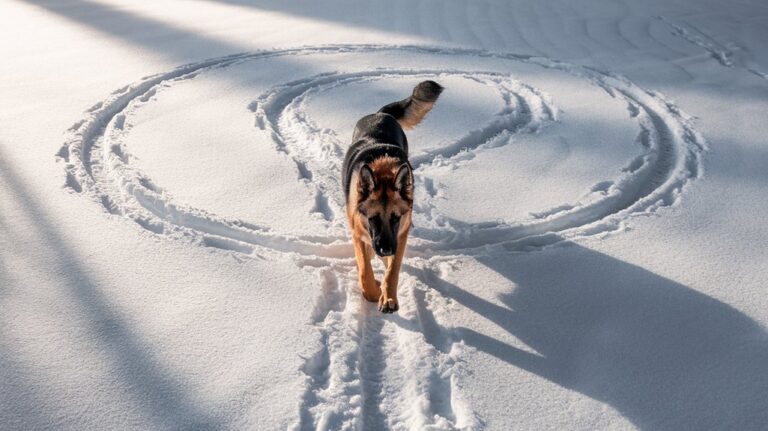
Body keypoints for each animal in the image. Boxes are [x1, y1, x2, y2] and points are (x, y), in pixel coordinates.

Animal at [344, 80, 444, 314]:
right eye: (373, 219)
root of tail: (381, 114)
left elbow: (393, 270)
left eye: (396, 218)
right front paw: (373, 290)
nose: (385, 249)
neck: (383, 171)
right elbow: (364, 271)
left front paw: (388, 296)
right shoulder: (358, 233)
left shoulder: (400, 235)